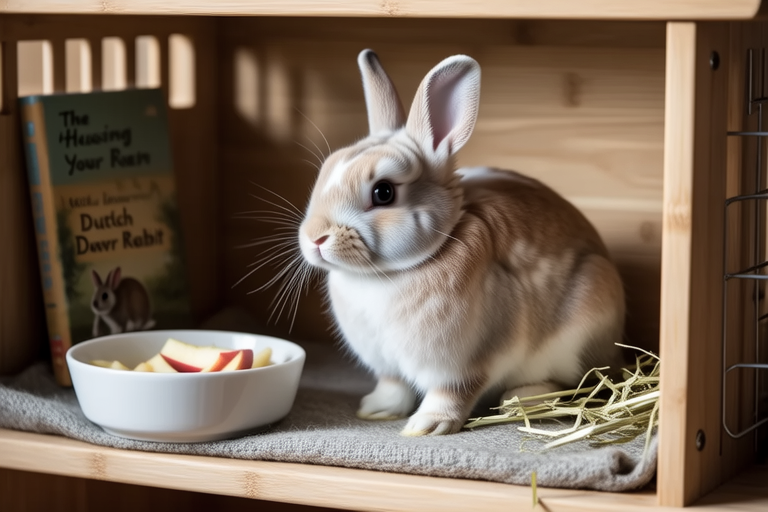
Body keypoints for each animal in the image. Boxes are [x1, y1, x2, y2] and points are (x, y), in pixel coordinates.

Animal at [297, 49, 625, 436]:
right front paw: (376, 410)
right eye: (324, 172)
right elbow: (393, 386)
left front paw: (425, 427)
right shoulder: (388, 365)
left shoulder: (463, 365)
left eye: (383, 192)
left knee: (570, 383)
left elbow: (452, 393)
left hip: (578, 331)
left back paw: (522, 399)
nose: (314, 238)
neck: (389, 274)